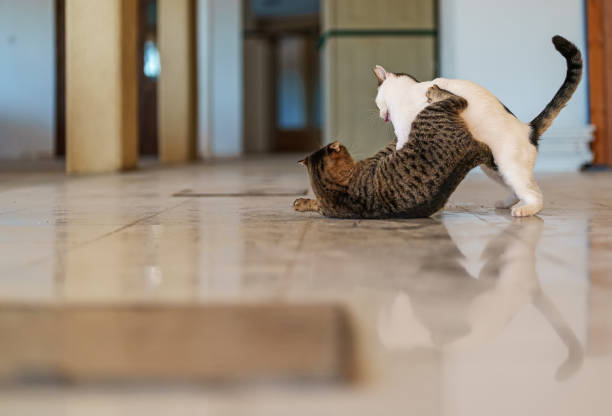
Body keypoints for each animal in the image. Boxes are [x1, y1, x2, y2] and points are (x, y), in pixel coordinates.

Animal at [294, 86, 494, 219]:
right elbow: (392, 143)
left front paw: (300, 203)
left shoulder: (325, 207)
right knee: (459, 100)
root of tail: (470, 147)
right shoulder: (378, 157)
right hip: (431, 112)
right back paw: (434, 90)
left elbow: (315, 203)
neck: (334, 189)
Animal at [372, 35, 584, 218]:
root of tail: (528, 129)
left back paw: (525, 210)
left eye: (377, 103)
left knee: (535, 194)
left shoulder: (404, 135)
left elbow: (399, 153)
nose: (380, 116)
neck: (407, 90)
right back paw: (506, 203)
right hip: (494, 169)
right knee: (517, 191)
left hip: (509, 167)